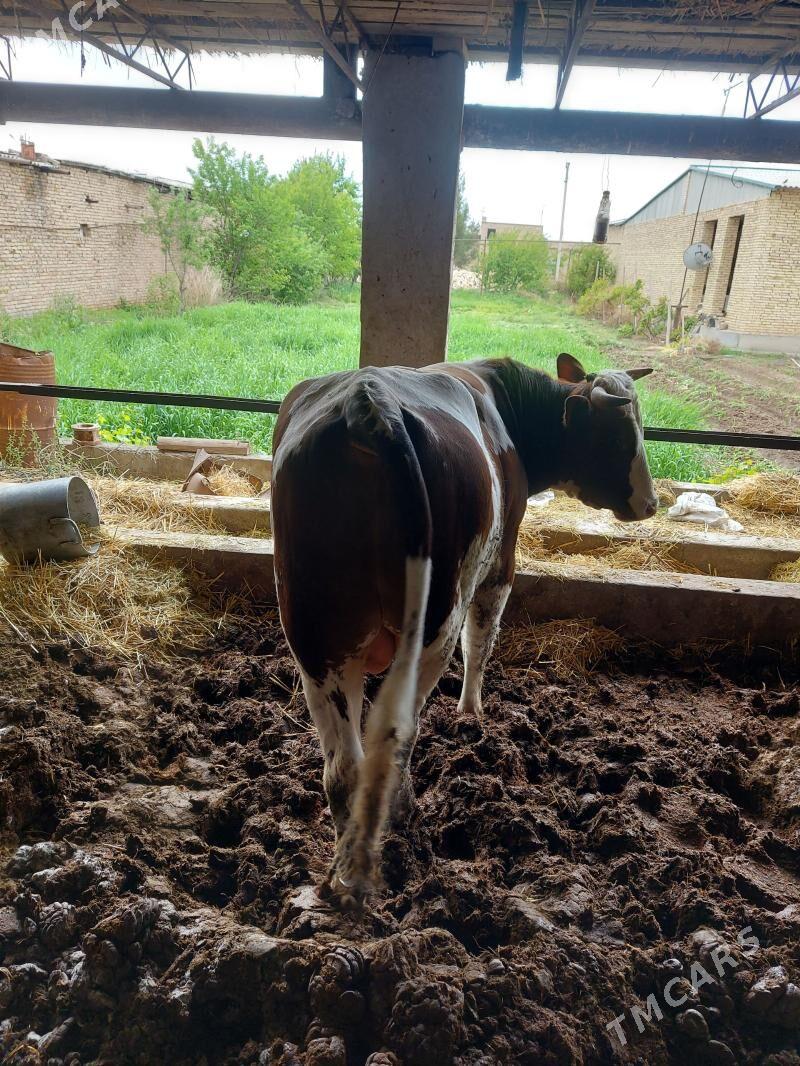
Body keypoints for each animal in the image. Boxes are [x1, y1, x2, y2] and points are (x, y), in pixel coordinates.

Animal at [271, 353, 657, 903]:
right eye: (621, 438)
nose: (651, 503)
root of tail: (368, 404)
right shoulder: (501, 560)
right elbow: (483, 639)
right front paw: (472, 714)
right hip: (430, 625)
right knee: (396, 736)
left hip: (314, 632)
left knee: (344, 766)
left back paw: (343, 873)